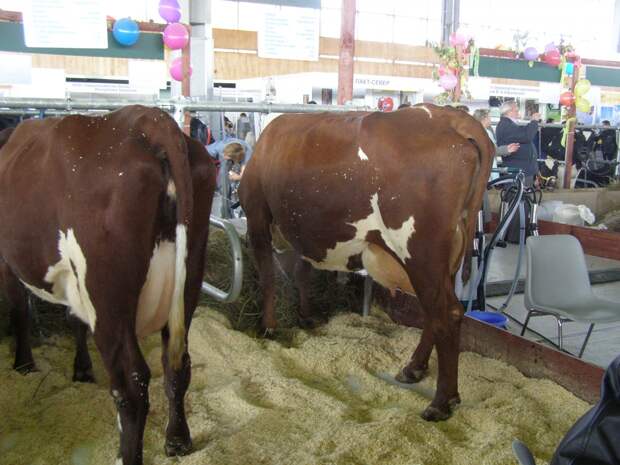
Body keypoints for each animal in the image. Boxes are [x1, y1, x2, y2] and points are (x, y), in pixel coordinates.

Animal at [0, 106, 216, 464]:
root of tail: (150, 120)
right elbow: (73, 318)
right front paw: (82, 370)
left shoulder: (8, 262)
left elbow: (19, 310)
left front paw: (24, 364)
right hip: (190, 276)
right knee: (176, 364)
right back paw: (177, 440)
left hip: (106, 295)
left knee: (131, 384)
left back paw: (126, 455)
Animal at [240, 104, 492, 420]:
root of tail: (449, 116)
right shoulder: (305, 234)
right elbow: (302, 272)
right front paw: (306, 316)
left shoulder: (257, 216)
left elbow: (268, 277)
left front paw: (268, 327)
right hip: (445, 259)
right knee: (435, 314)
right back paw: (413, 368)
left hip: (420, 253)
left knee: (447, 314)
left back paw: (441, 402)